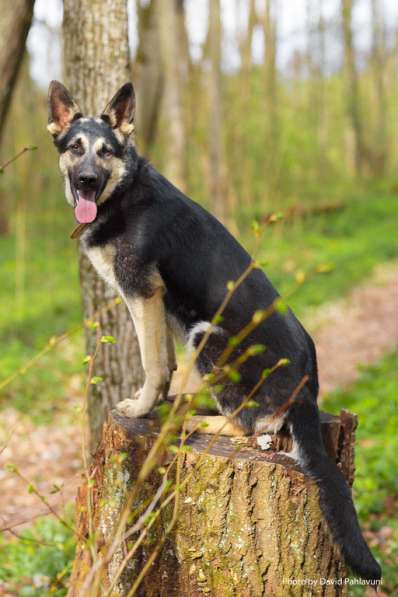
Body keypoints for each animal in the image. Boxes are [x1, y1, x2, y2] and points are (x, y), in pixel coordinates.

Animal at [47, 80, 382, 584]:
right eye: (75, 149)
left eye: (106, 152)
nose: (86, 181)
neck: (123, 193)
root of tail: (307, 390)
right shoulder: (157, 304)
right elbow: (162, 362)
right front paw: (156, 403)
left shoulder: (142, 293)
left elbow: (151, 363)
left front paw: (143, 407)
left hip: (206, 335)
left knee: (250, 426)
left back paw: (195, 419)